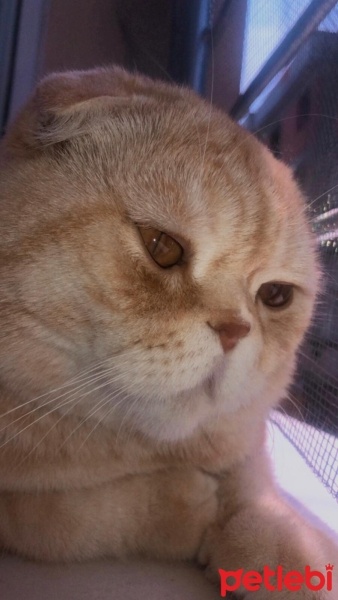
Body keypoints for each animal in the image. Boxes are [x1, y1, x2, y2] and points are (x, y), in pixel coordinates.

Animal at [0, 67, 338, 596]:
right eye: (162, 247)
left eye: (275, 296)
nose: (235, 330)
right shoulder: (24, 510)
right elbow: (67, 518)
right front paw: (187, 505)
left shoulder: (249, 436)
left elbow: (256, 487)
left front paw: (282, 552)